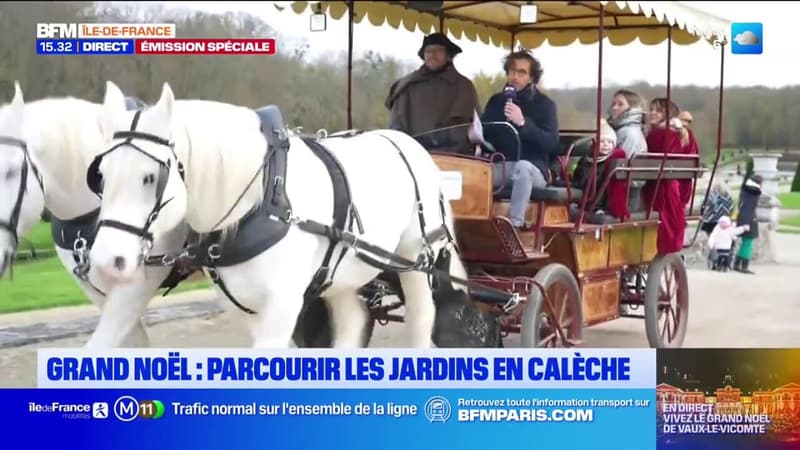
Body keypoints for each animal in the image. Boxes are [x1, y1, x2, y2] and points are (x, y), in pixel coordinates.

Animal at [89, 81, 468, 348]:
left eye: (150, 177)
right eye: (101, 175)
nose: (107, 261)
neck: (263, 198)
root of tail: (410, 144)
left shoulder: (283, 304)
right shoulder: (249, 309)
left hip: (416, 260)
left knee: (421, 319)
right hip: (345, 275)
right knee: (352, 321)